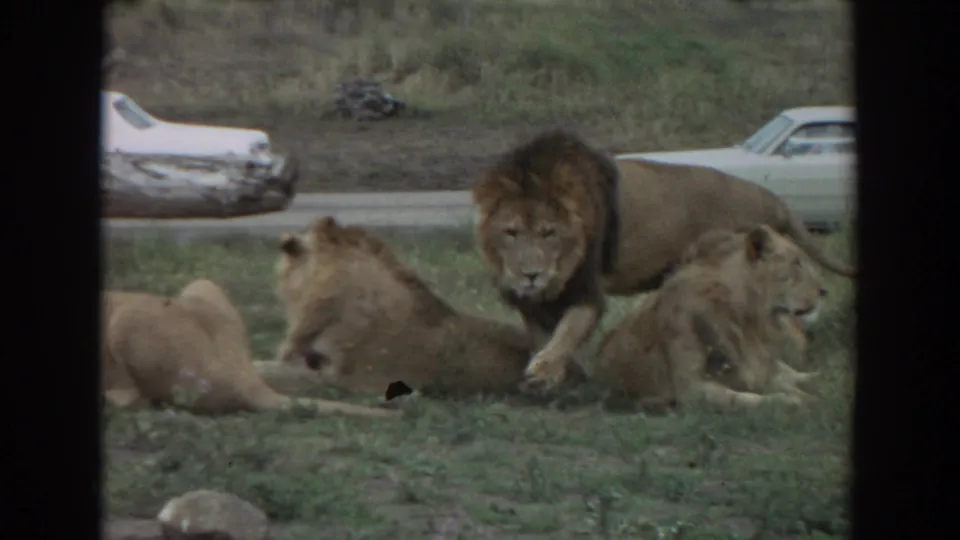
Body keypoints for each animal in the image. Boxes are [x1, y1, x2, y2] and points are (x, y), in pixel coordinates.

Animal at [471, 129, 621, 393]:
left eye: (549, 233)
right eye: (511, 232)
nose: (531, 275)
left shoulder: (587, 292)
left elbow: (568, 331)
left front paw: (545, 370)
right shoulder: (526, 304)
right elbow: (542, 336)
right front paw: (559, 374)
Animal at [592, 225, 824, 410]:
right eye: (796, 262)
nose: (824, 291)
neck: (746, 319)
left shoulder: (756, 363)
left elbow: (781, 378)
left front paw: (815, 389)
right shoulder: (690, 390)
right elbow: (746, 399)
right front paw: (794, 400)